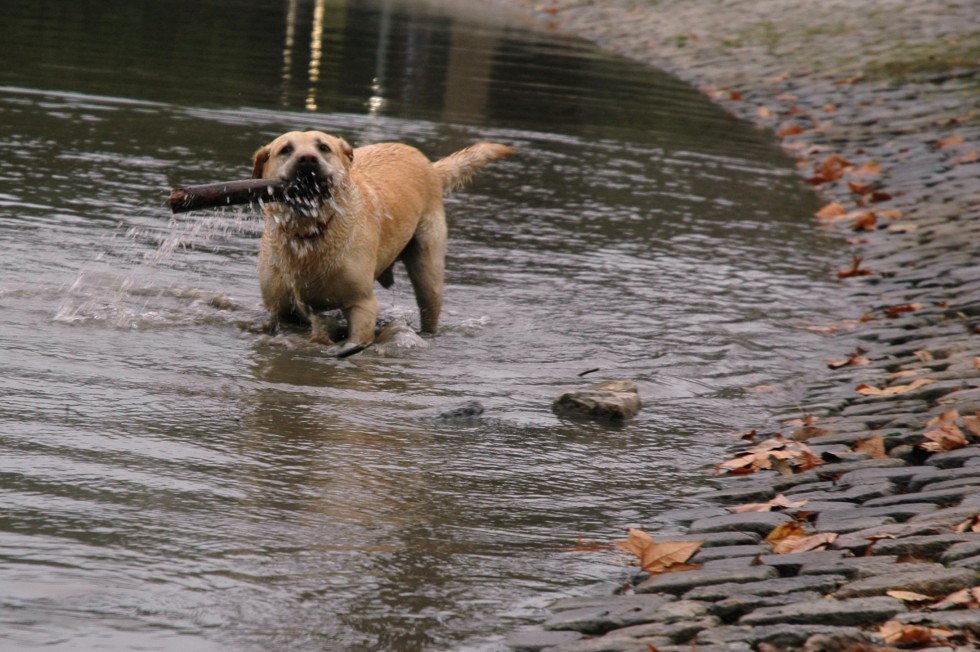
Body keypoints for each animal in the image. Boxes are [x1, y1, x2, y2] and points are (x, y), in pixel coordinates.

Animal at [251, 132, 512, 356]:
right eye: (286, 150)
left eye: (323, 148)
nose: (307, 159)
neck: (310, 234)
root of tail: (429, 165)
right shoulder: (281, 309)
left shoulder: (362, 303)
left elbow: (358, 336)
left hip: (428, 270)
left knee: (430, 304)